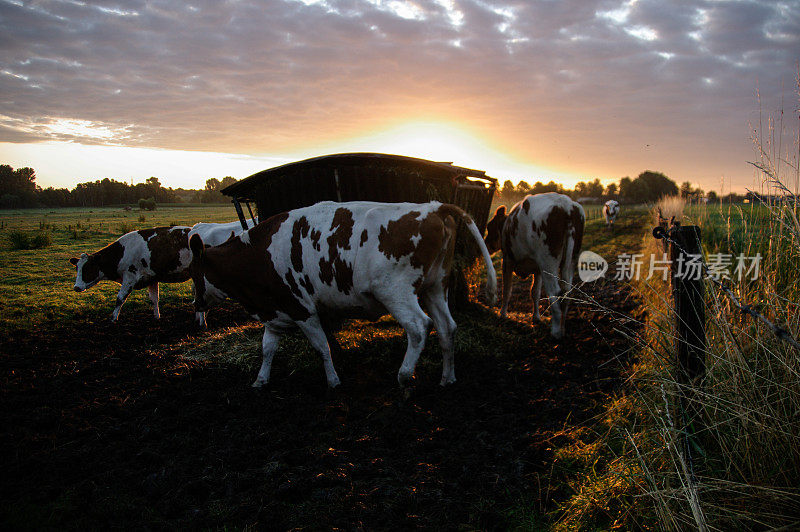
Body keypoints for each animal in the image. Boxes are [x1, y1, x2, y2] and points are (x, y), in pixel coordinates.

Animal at [190, 202, 496, 388]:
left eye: (193, 272)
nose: (197, 303)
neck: (260, 254)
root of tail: (433, 206)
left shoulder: (303, 309)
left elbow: (321, 346)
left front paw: (333, 381)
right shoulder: (275, 311)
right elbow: (267, 349)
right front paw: (260, 380)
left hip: (396, 291)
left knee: (419, 327)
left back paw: (404, 375)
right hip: (434, 287)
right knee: (447, 327)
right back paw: (447, 378)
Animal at [484, 193, 584, 338]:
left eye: (489, 226)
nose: (486, 244)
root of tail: (567, 206)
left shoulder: (507, 261)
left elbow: (507, 290)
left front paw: (502, 314)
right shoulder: (538, 269)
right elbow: (535, 292)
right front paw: (536, 317)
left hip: (548, 262)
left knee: (555, 292)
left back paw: (556, 332)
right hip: (570, 260)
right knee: (566, 293)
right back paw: (562, 328)